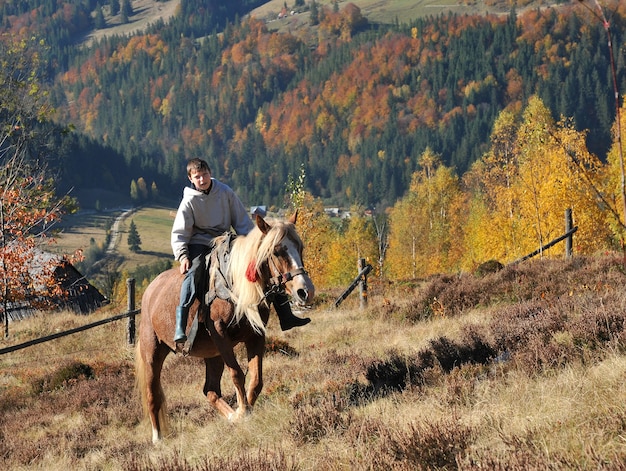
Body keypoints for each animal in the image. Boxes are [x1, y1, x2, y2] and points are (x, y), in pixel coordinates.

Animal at [135, 214, 314, 442]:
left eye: (300, 247)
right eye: (276, 251)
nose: (305, 291)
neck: (233, 285)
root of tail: (149, 292)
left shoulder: (255, 336)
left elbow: (256, 379)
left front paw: (242, 411)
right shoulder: (221, 336)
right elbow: (237, 374)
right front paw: (243, 411)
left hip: (213, 355)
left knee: (210, 391)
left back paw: (230, 417)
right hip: (153, 354)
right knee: (152, 395)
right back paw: (158, 438)